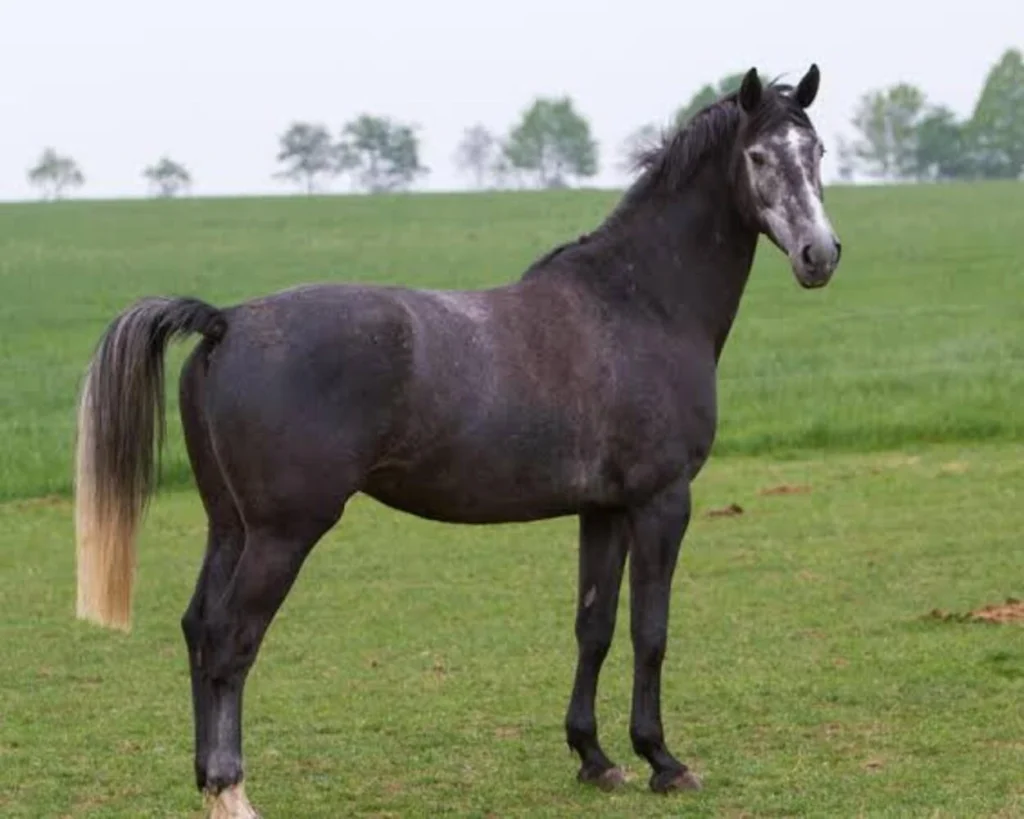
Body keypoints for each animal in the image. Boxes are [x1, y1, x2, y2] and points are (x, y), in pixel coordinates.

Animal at [73, 65, 841, 817]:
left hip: (229, 525)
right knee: (231, 639)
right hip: (280, 534)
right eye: (759, 156)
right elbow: (650, 631)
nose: (821, 254)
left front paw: (594, 757)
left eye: (818, 151)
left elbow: (593, 625)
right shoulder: (661, 501)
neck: (637, 304)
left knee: (199, 627)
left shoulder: (604, 510)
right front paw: (663, 760)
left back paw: (207, 776)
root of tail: (226, 321)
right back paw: (231, 789)